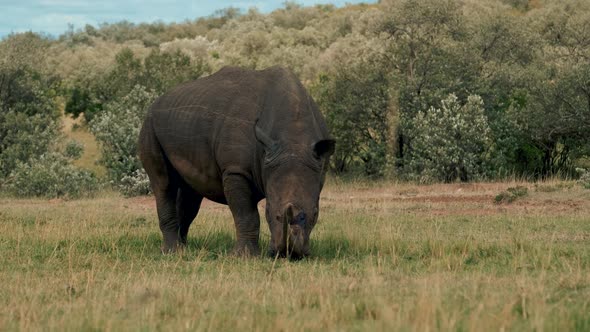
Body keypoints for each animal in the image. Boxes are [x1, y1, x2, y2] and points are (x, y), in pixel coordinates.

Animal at [136, 66, 336, 258]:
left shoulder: (319, 169)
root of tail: (157, 100)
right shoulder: (236, 170)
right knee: (164, 183)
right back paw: (172, 252)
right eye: (268, 212)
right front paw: (245, 257)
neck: (293, 139)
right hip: (149, 124)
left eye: (316, 214)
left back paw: (184, 249)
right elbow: (246, 214)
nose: (289, 254)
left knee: (190, 193)